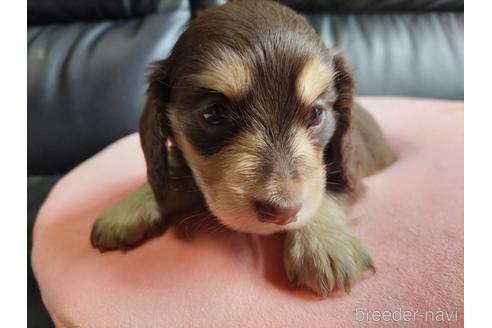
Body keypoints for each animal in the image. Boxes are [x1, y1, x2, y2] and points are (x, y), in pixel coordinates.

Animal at [90, 0, 396, 298]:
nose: (283, 212)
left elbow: (327, 188)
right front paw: (126, 209)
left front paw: (323, 244)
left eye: (315, 114)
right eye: (213, 114)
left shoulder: (348, 169)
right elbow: (174, 177)